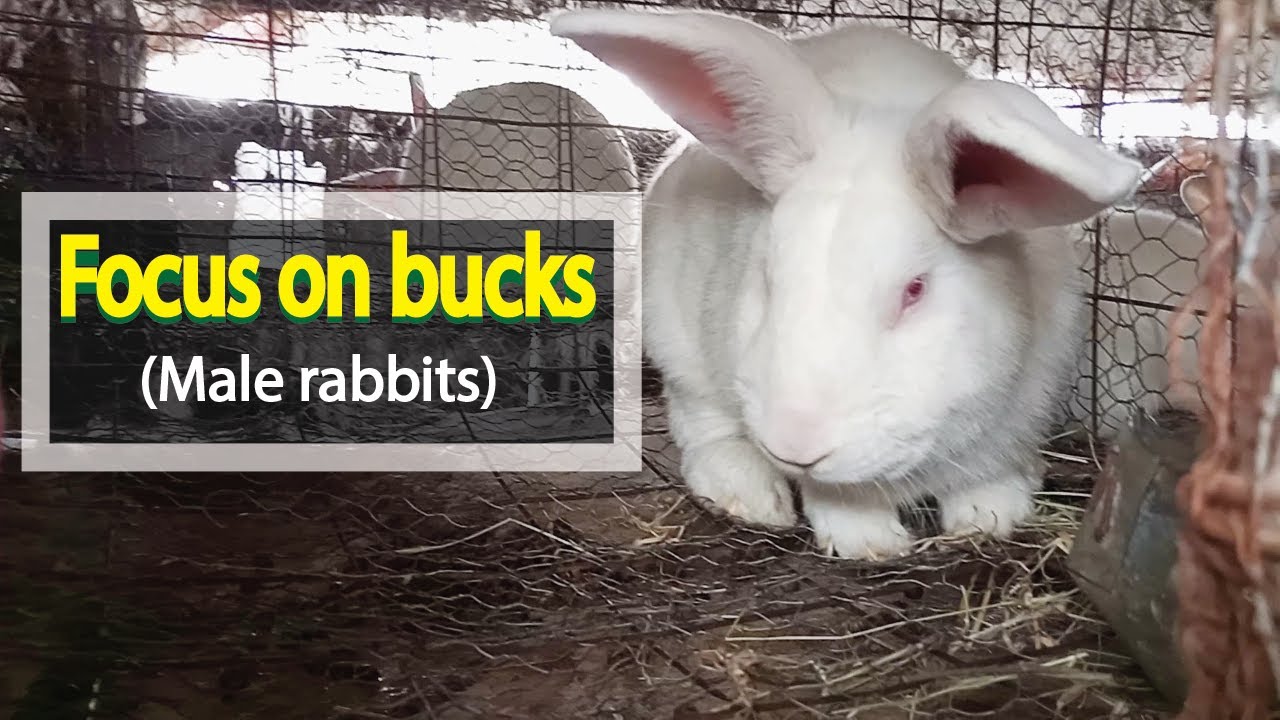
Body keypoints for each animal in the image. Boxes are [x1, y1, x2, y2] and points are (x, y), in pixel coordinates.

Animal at [550, 9, 1143, 559]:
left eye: (915, 290)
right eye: (767, 274)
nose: (796, 443)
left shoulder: (1019, 414)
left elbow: (990, 477)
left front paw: (988, 518)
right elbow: (840, 497)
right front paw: (871, 543)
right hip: (674, 336)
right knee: (703, 422)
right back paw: (752, 499)